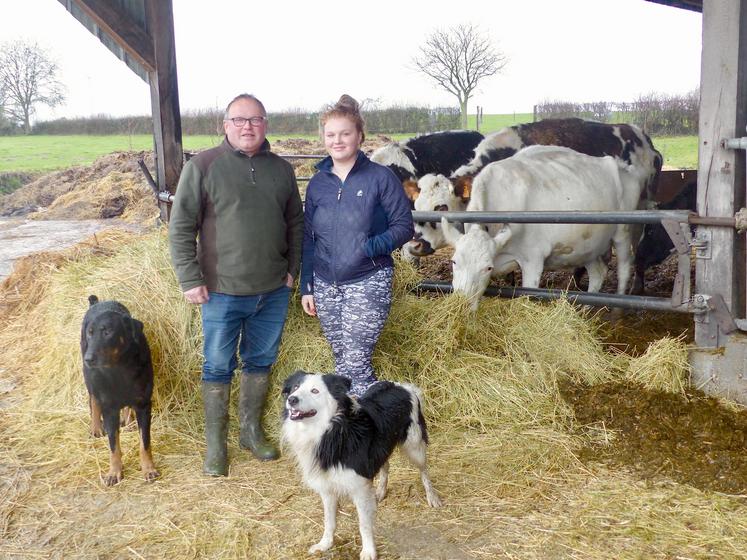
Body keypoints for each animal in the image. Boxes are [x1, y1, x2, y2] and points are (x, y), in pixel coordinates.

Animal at [81, 296, 159, 484]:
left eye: (108, 331)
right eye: (90, 333)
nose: (89, 358)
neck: (119, 368)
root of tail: (96, 302)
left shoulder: (143, 404)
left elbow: (145, 442)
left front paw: (148, 469)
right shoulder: (109, 408)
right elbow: (113, 444)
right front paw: (114, 472)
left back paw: (128, 422)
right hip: (90, 377)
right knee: (93, 400)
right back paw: (96, 428)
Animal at [438, 144, 644, 310]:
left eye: (487, 268)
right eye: (454, 262)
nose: (461, 305)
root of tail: (624, 168)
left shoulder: (533, 259)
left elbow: (528, 294)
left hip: (623, 232)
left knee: (624, 269)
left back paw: (618, 310)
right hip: (588, 244)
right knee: (598, 272)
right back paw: (586, 309)